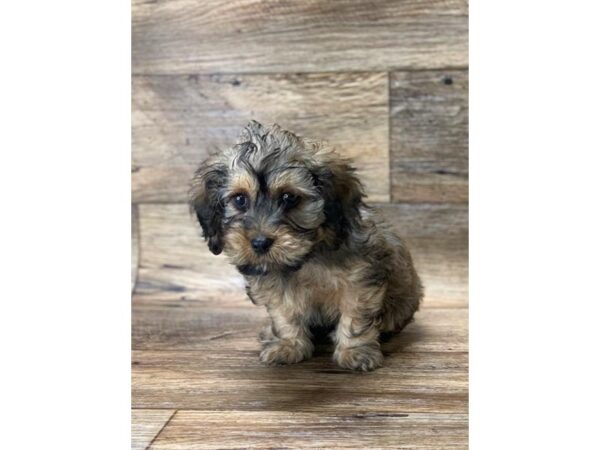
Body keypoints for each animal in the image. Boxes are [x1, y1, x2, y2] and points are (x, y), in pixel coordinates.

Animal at [191, 121, 422, 370]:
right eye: (240, 199)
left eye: (288, 197)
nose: (260, 243)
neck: (306, 258)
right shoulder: (276, 289)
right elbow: (285, 316)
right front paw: (288, 345)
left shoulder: (361, 282)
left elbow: (355, 317)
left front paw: (355, 351)